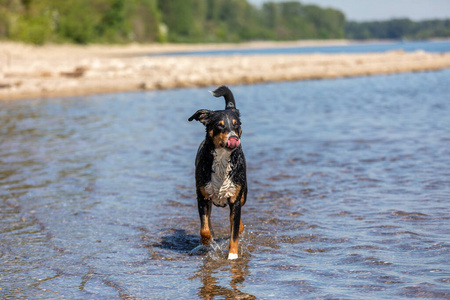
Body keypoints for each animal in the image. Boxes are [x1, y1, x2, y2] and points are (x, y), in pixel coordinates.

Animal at [188, 85, 248, 258]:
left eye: (237, 124)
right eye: (220, 125)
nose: (234, 138)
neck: (222, 159)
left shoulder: (235, 201)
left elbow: (234, 233)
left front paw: (233, 256)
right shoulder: (202, 197)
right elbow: (205, 229)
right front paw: (208, 242)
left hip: (243, 194)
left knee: (239, 225)